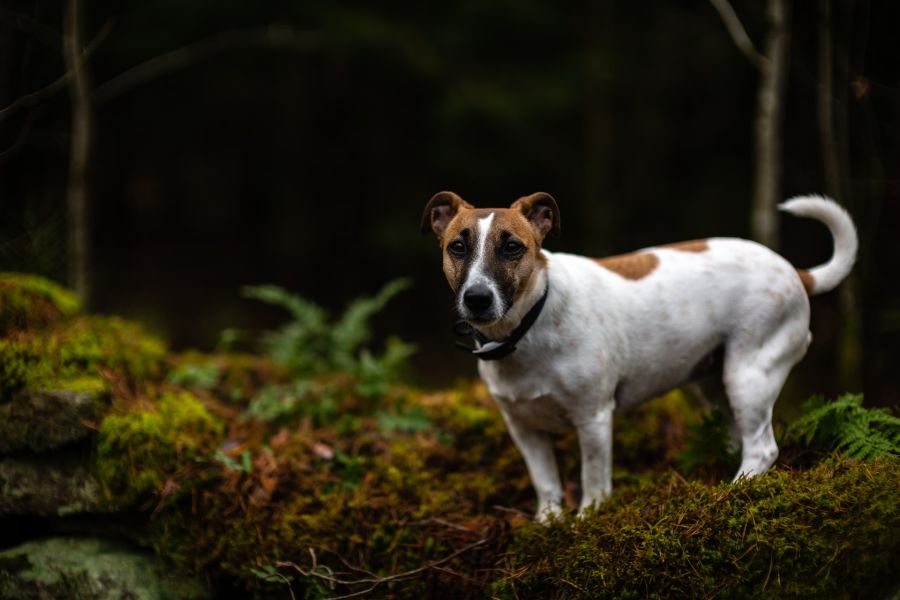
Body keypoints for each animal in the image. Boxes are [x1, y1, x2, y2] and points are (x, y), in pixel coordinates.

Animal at [422, 191, 856, 520]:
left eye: (512, 247)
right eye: (457, 247)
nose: (477, 298)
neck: (528, 327)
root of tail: (796, 271)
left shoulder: (594, 419)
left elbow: (594, 480)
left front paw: (585, 520)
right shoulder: (524, 429)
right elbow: (545, 482)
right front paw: (548, 522)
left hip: (750, 373)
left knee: (762, 447)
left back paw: (732, 493)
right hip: (715, 384)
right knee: (742, 439)